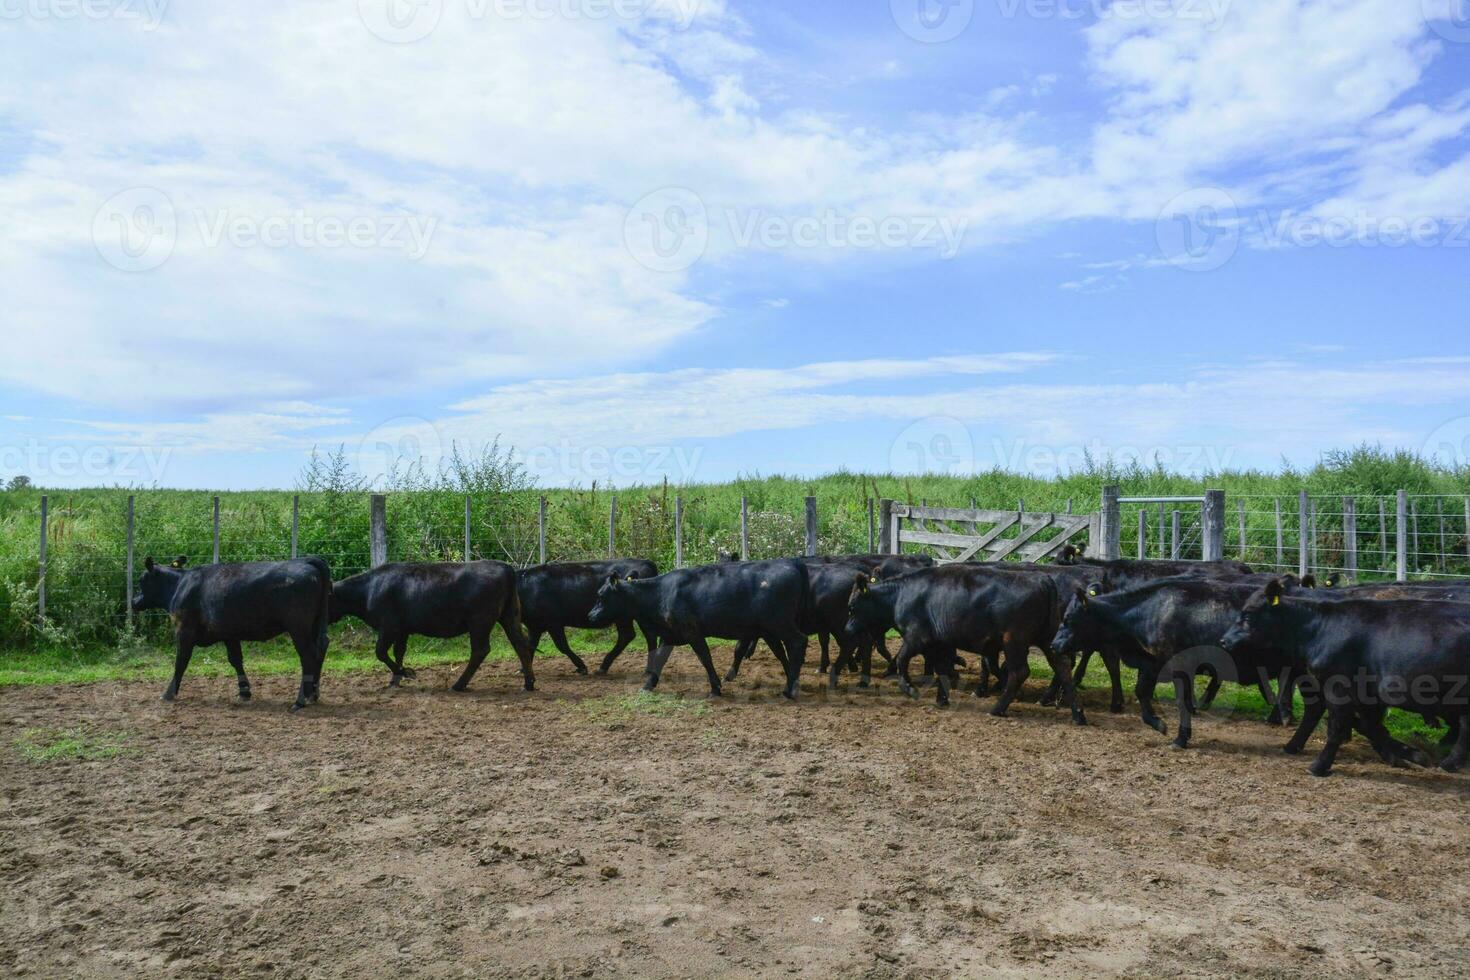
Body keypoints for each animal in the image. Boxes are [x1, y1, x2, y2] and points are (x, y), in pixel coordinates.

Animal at [133, 555, 333, 708]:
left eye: (142, 580)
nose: (134, 601)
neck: (180, 584)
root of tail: (305, 560)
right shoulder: (229, 634)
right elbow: (235, 660)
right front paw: (244, 692)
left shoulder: (184, 631)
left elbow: (181, 661)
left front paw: (168, 693)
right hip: (315, 625)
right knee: (321, 649)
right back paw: (313, 694)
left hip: (298, 628)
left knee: (308, 656)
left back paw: (300, 700)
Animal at [330, 564, 538, 693]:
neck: (369, 589)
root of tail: (505, 568)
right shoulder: (402, 630)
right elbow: (399, 652)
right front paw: (396, 678)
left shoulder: (388, 627)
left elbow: (380, 652)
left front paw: (404, 673)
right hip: (509, 617)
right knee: (521, 645)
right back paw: (528, 683)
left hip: (479, 622)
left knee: (480, 650)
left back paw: (458, 684)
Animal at [514, 558, 658, 675]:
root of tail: (647, 562)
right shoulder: (534, 626)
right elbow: (529, 645)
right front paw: (523, 670)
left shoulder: (553, 623)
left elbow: (562, 646)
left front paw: (582, 667)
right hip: (624, 618)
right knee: (629, 636)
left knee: (644, 636)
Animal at [590, 558, 811, 696]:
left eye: (601, 595)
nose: (590, 615)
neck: (661, 592)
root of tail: (791, 564)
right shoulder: (670, 635)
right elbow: (660, 659)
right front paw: (648, 685)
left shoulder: (692, 633)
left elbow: (705, 658)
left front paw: (715, 688)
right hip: (770, 630)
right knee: (783, 653)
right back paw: (792, 683)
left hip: (780, 625)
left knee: (798, 642)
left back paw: (790, 689)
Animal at [1217, 581, 1470, 781]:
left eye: (1248, 615)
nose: (1223, 640)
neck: (1320, 628)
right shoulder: (1367, 695)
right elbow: (1373, 727)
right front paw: (1406, 756)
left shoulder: (1339, 687)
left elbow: (1337, 728)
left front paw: (1319, 766)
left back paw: (1450, 762)